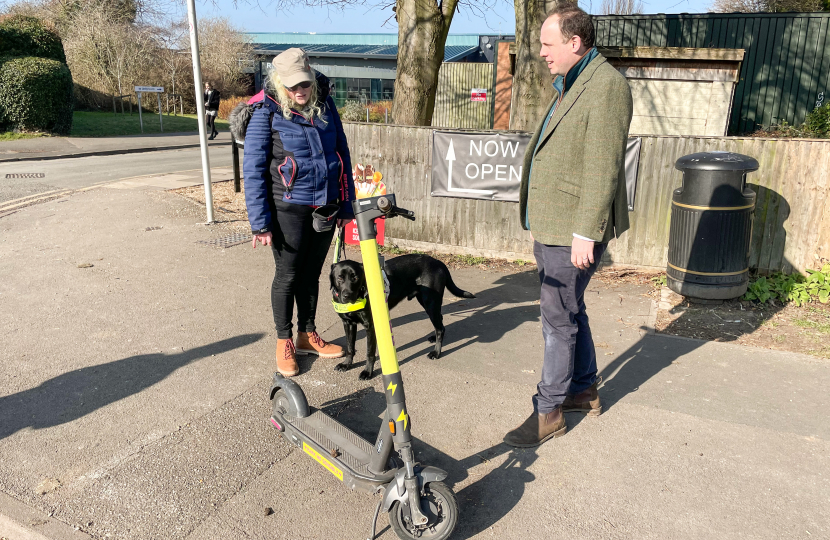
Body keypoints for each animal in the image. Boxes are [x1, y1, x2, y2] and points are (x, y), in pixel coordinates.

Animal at [330, 254, 474, 378]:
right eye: (339, 278)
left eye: (355, 278)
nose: (347, 296)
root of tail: (438, 262)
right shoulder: (348, 324)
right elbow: (350, 347)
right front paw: (346, 364)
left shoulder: (370, 326)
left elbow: (369, 352)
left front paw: (367, 372)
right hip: (427, 302)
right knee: (440, 321)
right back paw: (434, 338)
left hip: (430, 302)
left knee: (440, 328)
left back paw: (436, 352)